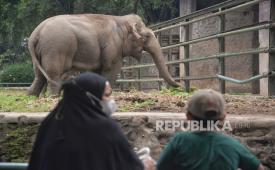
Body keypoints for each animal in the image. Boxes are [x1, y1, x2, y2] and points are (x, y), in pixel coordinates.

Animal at [27, 13, 181, 96]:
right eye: (147, 36)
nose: (179, 85)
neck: (121, 20)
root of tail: (35, 33)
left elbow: (97, 72)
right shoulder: (113, 48)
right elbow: (110, 71)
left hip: (42, 52)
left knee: (39, 77)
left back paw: (31, 96)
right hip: (56, 48)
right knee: (53, 75)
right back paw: (53, 97)